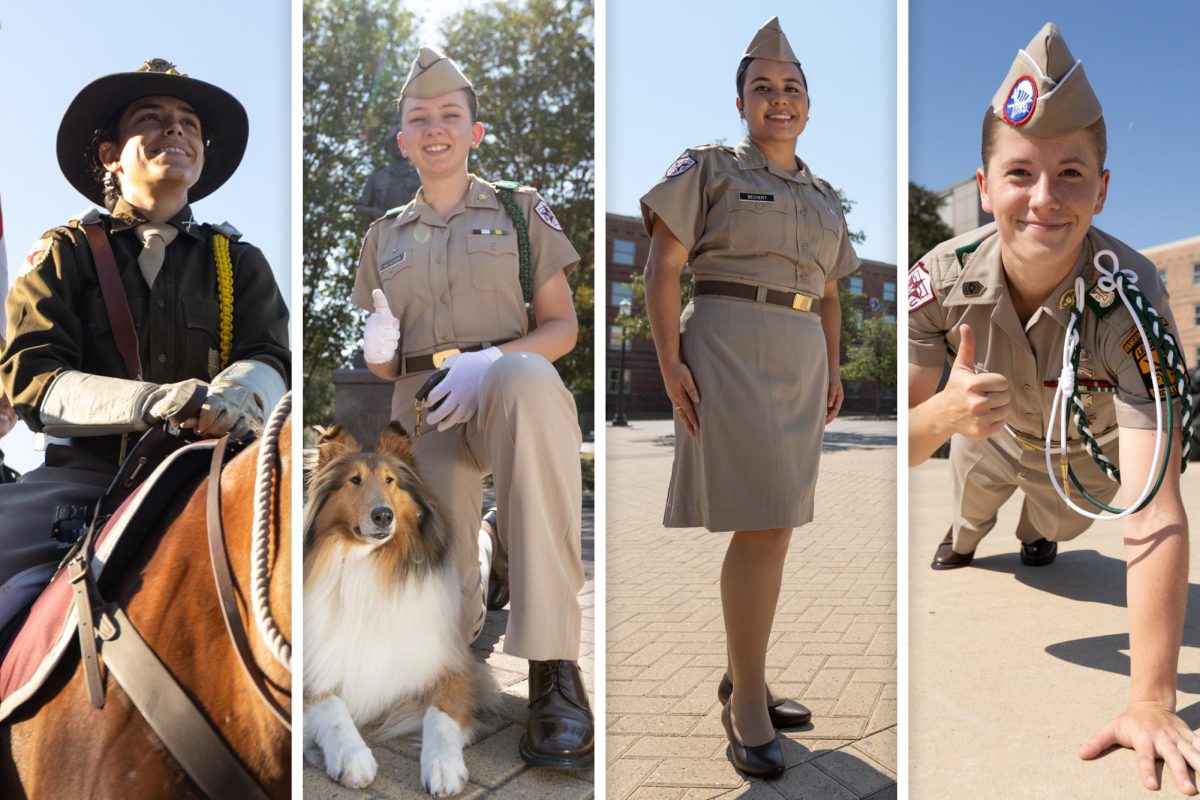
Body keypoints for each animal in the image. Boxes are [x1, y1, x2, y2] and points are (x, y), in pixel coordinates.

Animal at [307, 424, 499, 796]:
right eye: (354, 480)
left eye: (390, 480)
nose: (383, 515)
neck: (369, 564)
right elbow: (332, 706)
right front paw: (352, 756)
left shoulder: (457, 668)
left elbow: (440, 714)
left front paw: (443, 766)